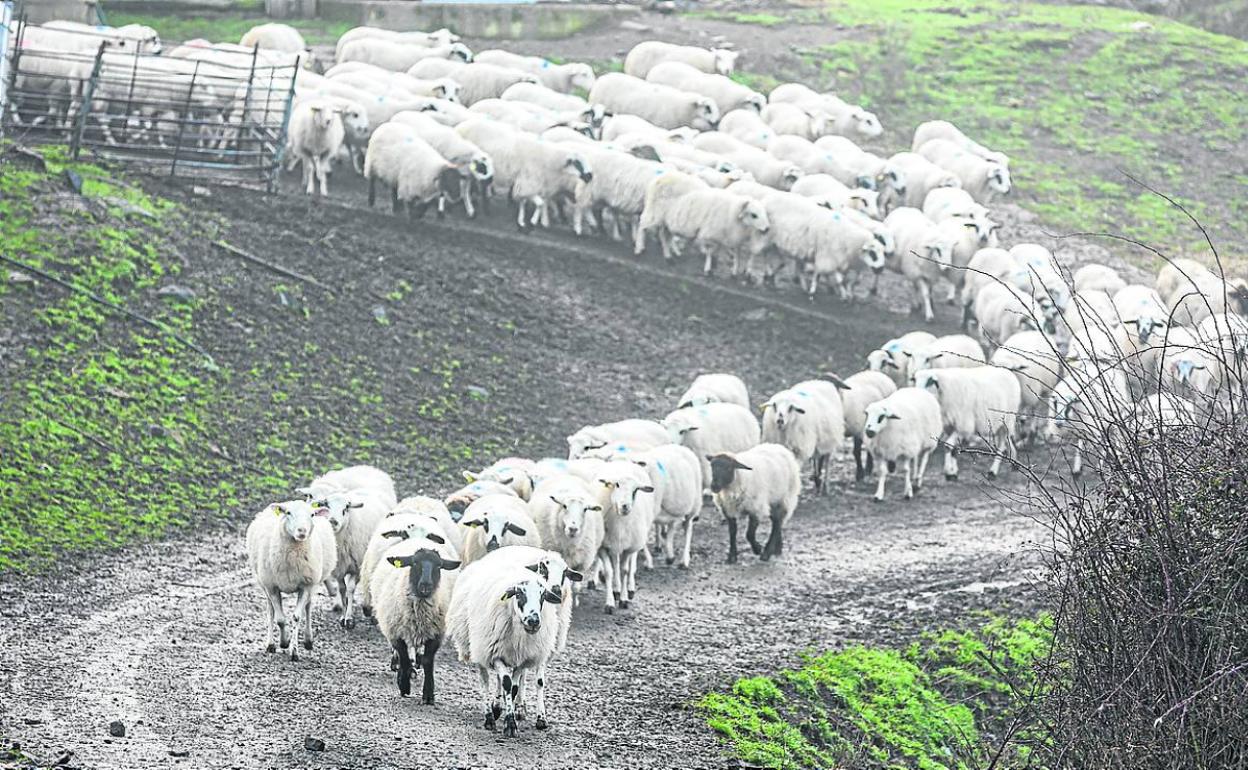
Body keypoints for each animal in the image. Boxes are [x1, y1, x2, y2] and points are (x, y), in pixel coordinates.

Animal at [243, 499, 336, 658]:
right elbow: (280, 619)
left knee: (308, 607)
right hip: (264, 583)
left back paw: (308, 640)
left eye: (312, 514)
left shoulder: (306, 586)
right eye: (288, 513)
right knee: (270, 611)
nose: (302, 531)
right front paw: (284, 642)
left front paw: (294, 650)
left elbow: (297, 617)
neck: (294, 553)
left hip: (313, 583)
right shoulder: (272, 587)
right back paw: (271, 644)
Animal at [371, 534, 466, 703]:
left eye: (439, 566)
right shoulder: (395, 633)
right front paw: (404, 685)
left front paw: (428, 695)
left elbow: (428, 661)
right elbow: (403, 657)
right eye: (415, 563)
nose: (426, 585)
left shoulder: (436, 634)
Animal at [446, 551, 564, 733]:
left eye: (543, 595)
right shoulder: (495, 655)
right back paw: (489, 716)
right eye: (519, 593)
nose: (533, 621)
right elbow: (507, 683)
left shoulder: (522, 659)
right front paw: (509, 723)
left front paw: (510, 715)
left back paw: (496, 708)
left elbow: (513, 688)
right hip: (480, 647)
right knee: (485, 681)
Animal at [459, 118, 594, 229]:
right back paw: (471, 210)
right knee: (465, 189)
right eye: (578, 163)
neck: (549, 159)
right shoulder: (528, 182)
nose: (590, 176)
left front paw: (522, 222)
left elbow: (525, 201)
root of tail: (461, 126)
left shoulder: (527, 183)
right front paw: (532, 222)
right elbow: (539, 203)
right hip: (469, 167)